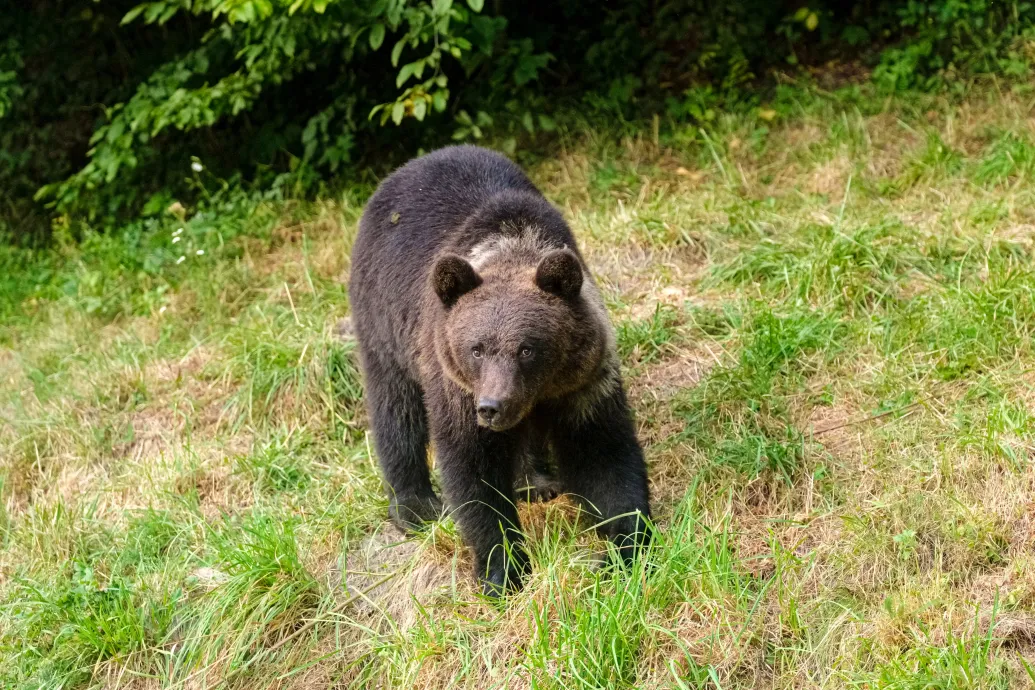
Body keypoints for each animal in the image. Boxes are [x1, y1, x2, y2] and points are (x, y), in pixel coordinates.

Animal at [351, 144, 649, 595]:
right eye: (476, 348)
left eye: (527, 348)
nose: (492, 406)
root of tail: (411, 164)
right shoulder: (455, 383)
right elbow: (473, 472)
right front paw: (503, 570)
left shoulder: (582, 383)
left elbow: (603, 455)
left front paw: (626, 549)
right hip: (383, 322)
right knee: (396, 408)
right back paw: (415, 506)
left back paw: (534, 482)